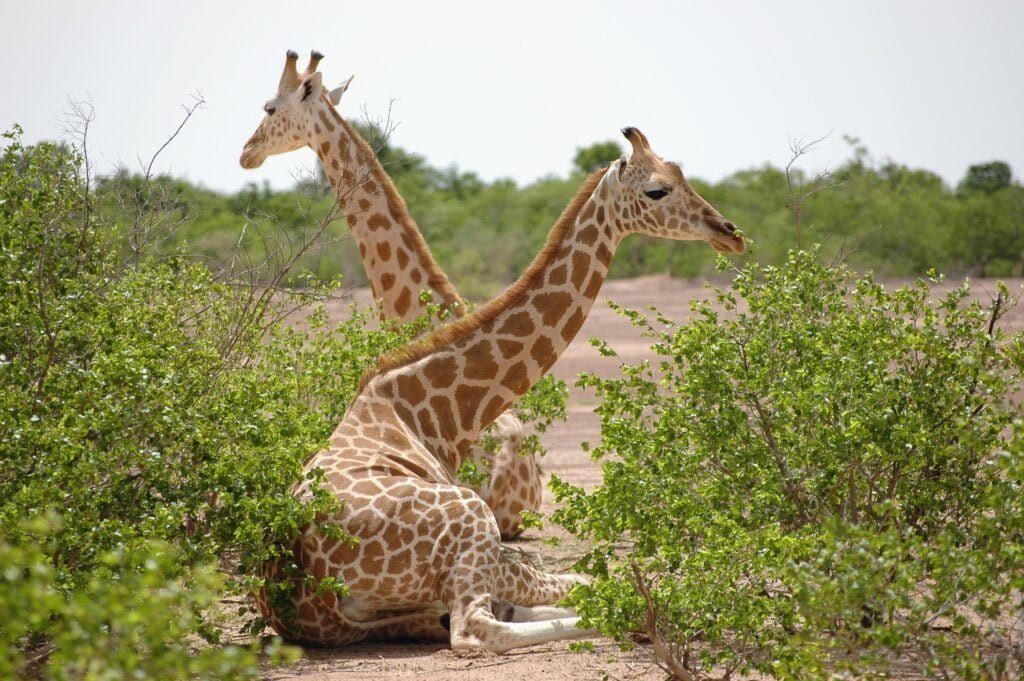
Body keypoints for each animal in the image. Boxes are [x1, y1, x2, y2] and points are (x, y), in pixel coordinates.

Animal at [251, 118, 749, 655]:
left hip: (414, 604)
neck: (437, 418)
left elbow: (585, 582)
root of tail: (307, 599)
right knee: (476, 629)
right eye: (658, 190)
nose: (730, 233)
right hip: (471, 518)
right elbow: (591, 582)